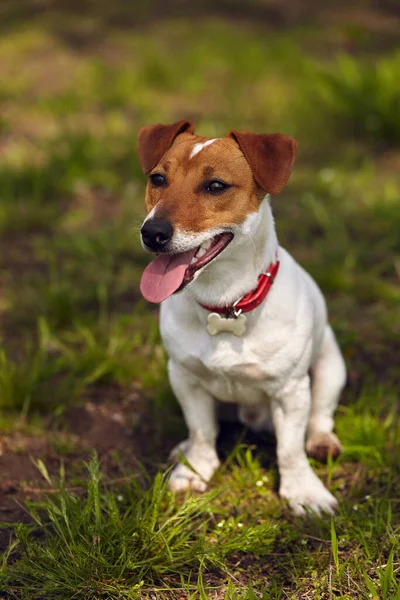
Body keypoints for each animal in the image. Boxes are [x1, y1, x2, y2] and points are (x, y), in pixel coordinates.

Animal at [137, 122, 344, 516]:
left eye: (216, 185)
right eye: (157, 178)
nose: (152, 233)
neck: (225, 304)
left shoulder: (291, 391)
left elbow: (290, 449)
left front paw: (303, 491)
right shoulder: (184, 377)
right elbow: (202, 431)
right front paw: (195, 470)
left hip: (330, 366)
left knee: (319, 417)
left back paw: (322, 440)